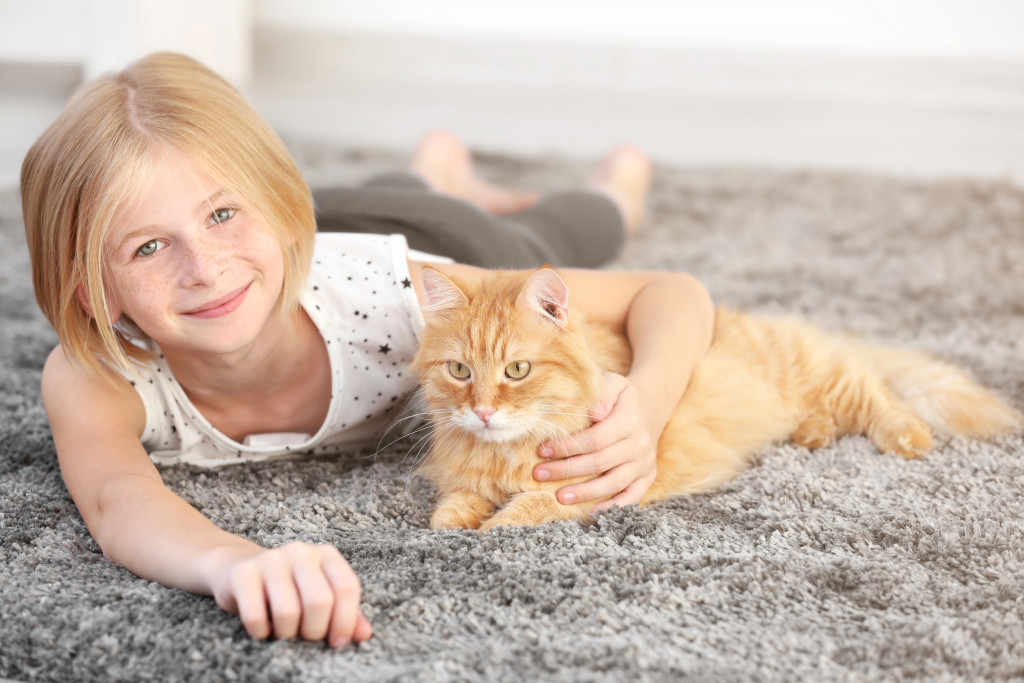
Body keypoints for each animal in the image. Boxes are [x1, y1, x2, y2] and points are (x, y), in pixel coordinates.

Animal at [409, 264, 1024, 532]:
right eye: (460, 371)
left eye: (517, 370)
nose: (483, 411)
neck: (504, 454)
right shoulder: (463, 478)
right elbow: (453, 508)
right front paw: (458, 525)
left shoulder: (585, 487)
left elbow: (519, 513)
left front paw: (490, 530)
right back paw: (812, 435)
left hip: (829, 378)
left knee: (879, 395)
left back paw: (907, 438)